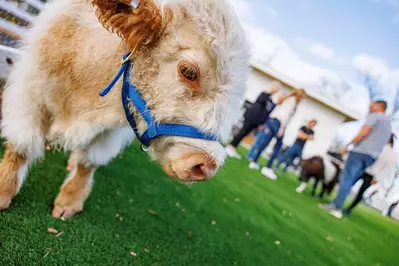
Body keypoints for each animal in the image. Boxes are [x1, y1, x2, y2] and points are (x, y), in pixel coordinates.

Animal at [0, 0, 248, 220]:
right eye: (188, 71)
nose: (207, 165)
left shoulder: (109, 131)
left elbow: (87, 163)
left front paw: (69, 201)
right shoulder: (30, 94)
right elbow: (21, 148)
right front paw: (4, 190)